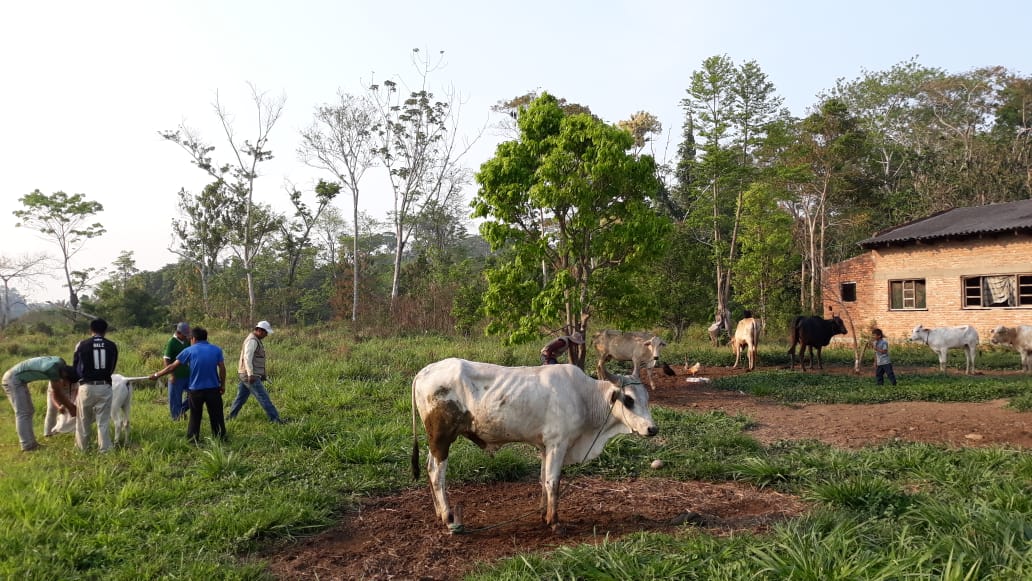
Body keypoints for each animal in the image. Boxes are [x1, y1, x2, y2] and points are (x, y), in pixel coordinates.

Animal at [408, 359, 656, 532]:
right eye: (629, 400)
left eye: (646, 398)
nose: (652, 429)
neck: (584, 397)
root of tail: (423, 372)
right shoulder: (558, 443)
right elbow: (553, 481)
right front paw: (555, 523)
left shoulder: (545, 446)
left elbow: (543, 480)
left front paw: (543, 514)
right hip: (442, 439)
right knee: (436, 473)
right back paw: (448, 517)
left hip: (436, 442)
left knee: (429, 468)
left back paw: (439, 513)